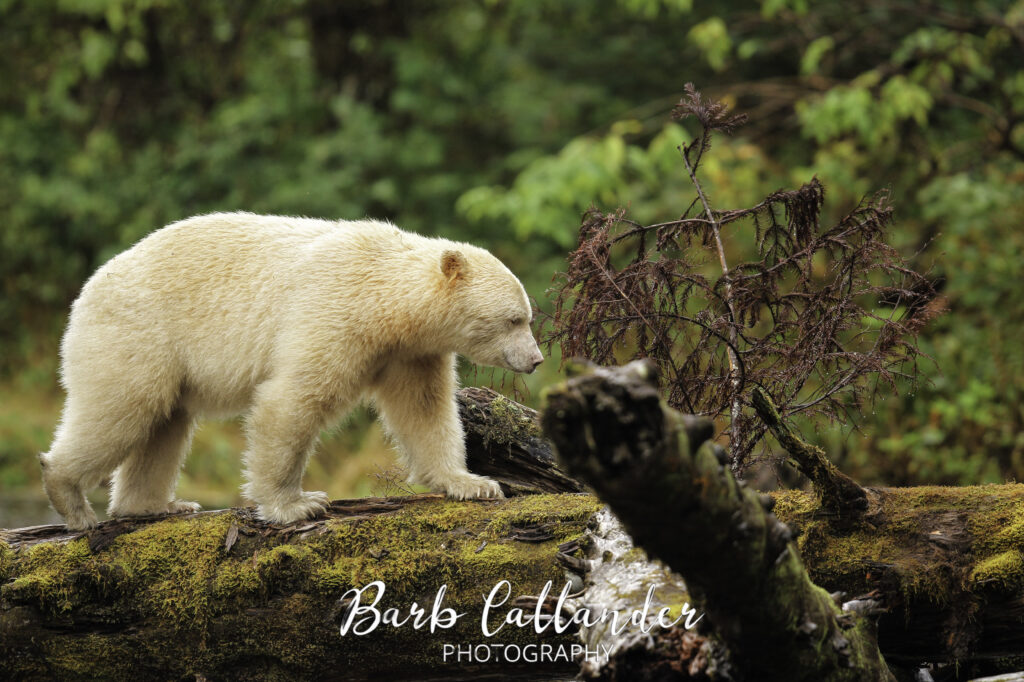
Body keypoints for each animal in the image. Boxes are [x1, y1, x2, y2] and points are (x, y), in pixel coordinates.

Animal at [40, 212, 543, 530]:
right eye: (513, 319)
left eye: (528, 317)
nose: (536, 360)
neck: (387, 300)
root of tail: (88, 288)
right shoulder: (335, 312)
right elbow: (292, 400)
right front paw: (297, 505)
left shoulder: (409, 352)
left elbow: (424, 411)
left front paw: (473, 484)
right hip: (139, 334)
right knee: (123, 409)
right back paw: (70, 497)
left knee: (164, 425)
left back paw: (156, 505)